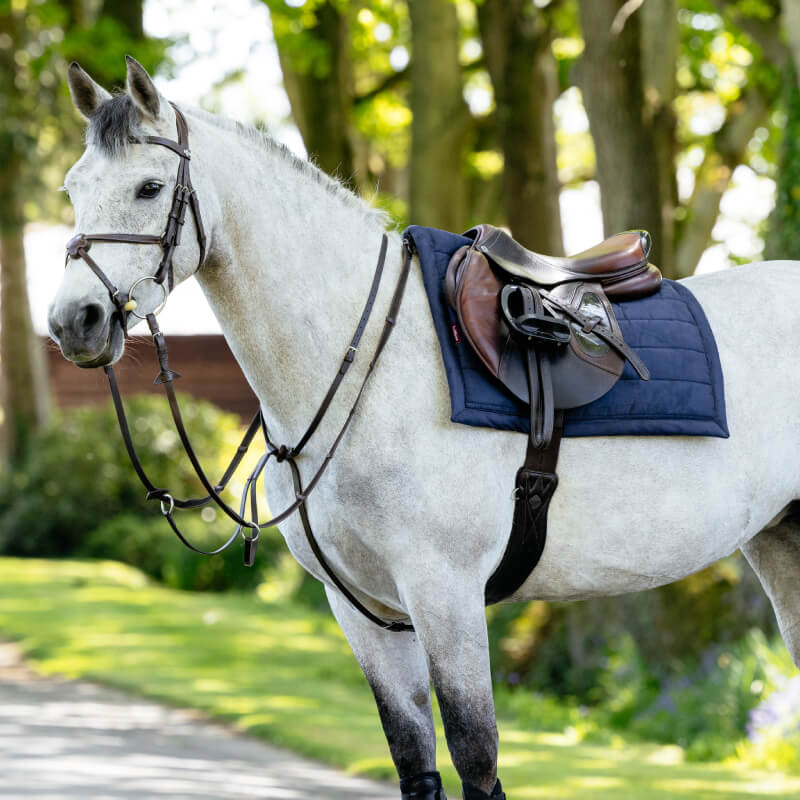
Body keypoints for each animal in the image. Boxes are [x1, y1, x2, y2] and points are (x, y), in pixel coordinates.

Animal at [48, 58, 800, 800]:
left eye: (149, 187)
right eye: (72, 188)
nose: (73, 321)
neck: (370, 363)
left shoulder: (446, 594)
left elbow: (477, 760)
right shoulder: (364, 610)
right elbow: (415, 761)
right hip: (780, 543)